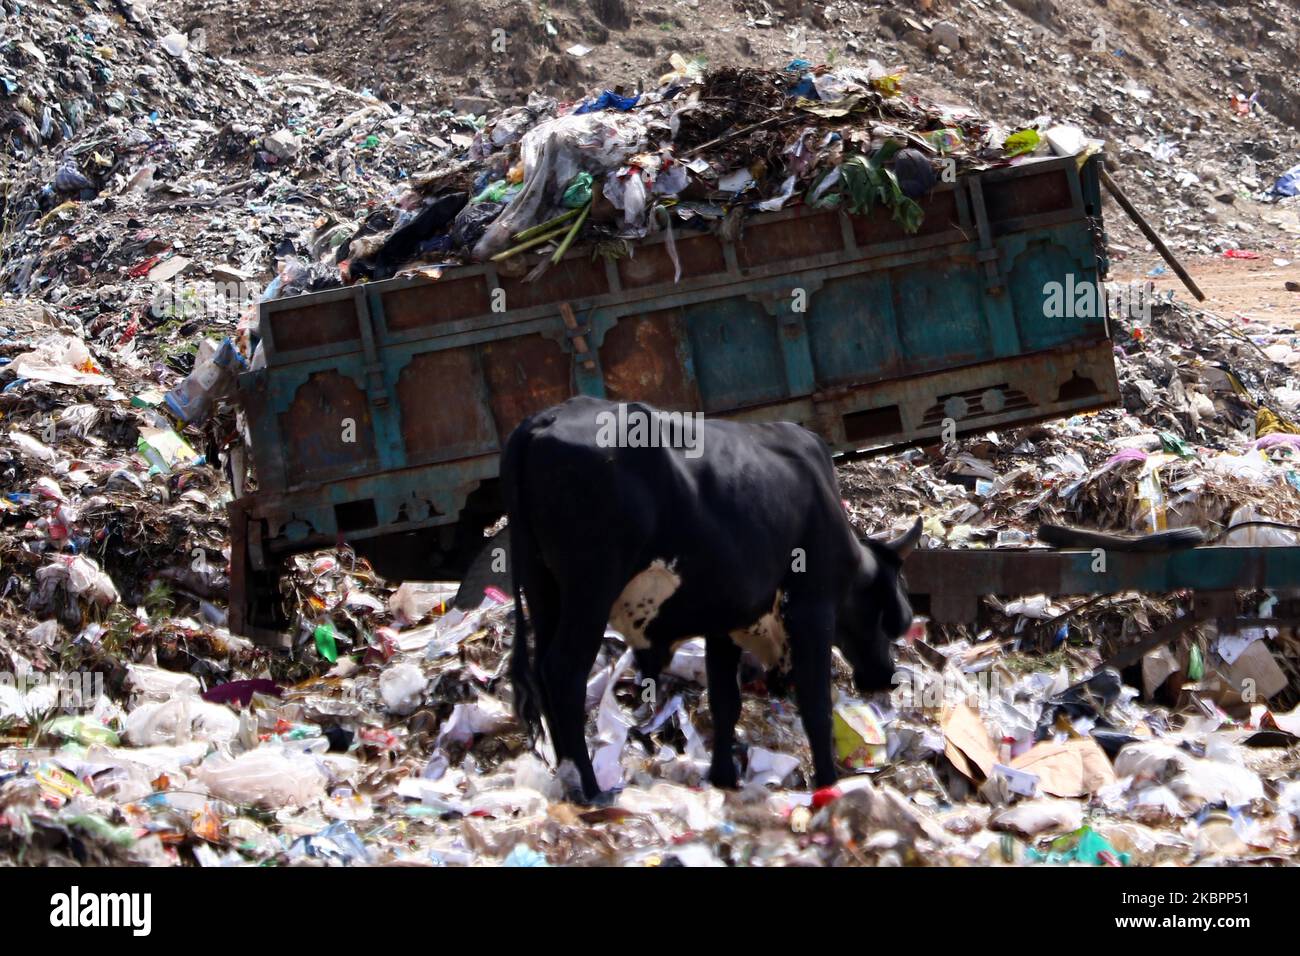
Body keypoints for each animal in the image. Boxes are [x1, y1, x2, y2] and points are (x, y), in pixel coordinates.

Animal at [501, 395, 920, 801]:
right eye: (889, 614)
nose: (886, 675)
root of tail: (546, 419)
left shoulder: (726, 621)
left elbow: (725, 702)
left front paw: (723, 777)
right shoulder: (810, 612)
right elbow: (816, 706)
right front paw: (829, 784)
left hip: (545, 592)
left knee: (541, 671)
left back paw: (567, 774)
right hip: (590, 591)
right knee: (563, 673)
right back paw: (590, 788)